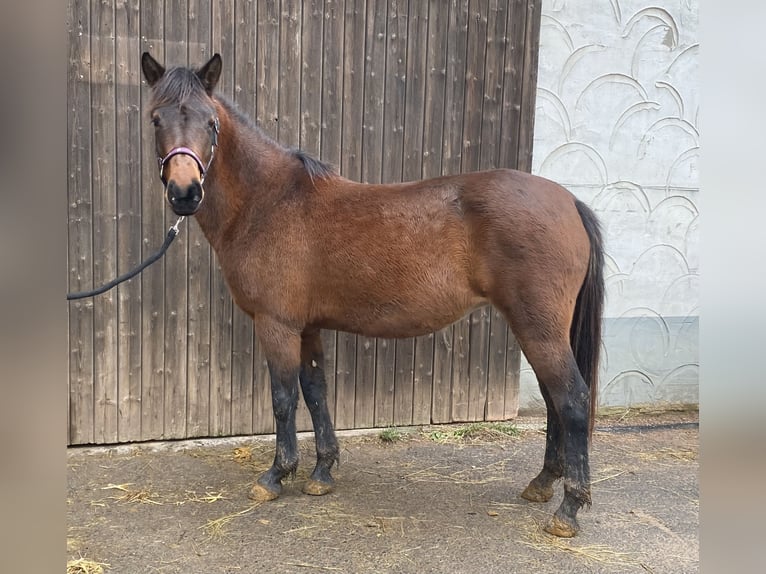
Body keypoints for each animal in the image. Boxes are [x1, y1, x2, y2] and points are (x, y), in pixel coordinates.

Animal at [140, 54, 608, 540]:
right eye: (156, 119)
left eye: (210, 123)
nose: (185, 193)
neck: (269, 202)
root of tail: (569, 202)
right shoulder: (308, 328)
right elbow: (316, 392)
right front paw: (322, 472)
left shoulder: (276, 325)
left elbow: (283, 399)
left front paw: (275, 476)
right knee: (555, 399)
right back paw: (543, 483)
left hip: (538, 329)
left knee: (572, 399)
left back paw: (569, 508)